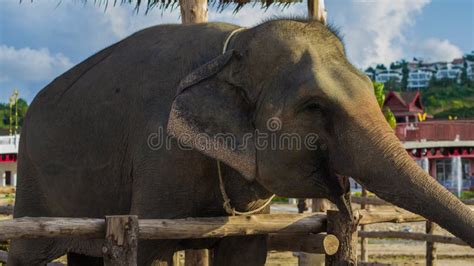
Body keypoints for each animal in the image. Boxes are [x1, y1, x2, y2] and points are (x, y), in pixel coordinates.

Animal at [7, 19, 474, 266]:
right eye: (314, 107)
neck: (234, 45)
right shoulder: (160, 162)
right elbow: (149, 252)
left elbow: (245, 250)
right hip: (31, 182)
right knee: (25, 252)